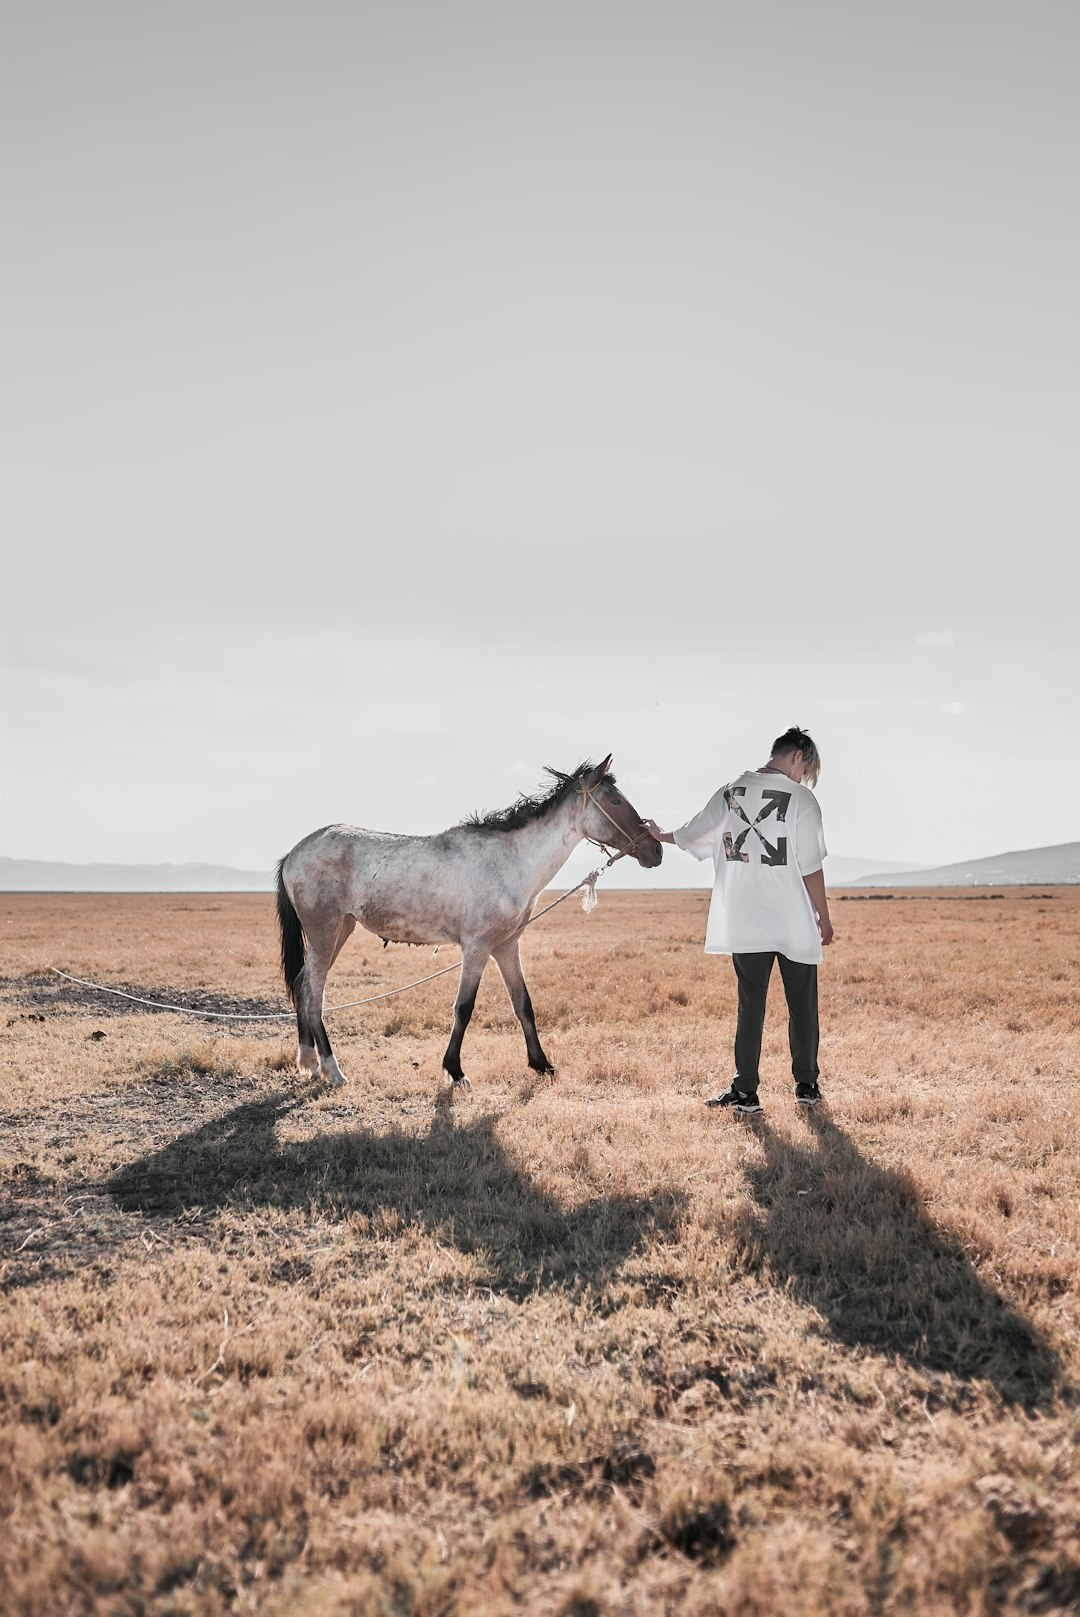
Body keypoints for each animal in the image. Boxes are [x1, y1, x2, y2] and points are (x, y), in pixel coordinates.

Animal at [274, 759, 662, 1093]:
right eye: (615, 800)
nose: (655, 851)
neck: (511, 861)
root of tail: (294, 853)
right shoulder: (477, 948)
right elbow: (464, 1008)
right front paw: (456, 1072)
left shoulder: (505, 947)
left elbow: (523, 1004)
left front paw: (542, 1064)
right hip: (325, 931)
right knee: (314, 993)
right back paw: (332, 1069)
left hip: (342, 929)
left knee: (303, 985)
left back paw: (309, 1062)